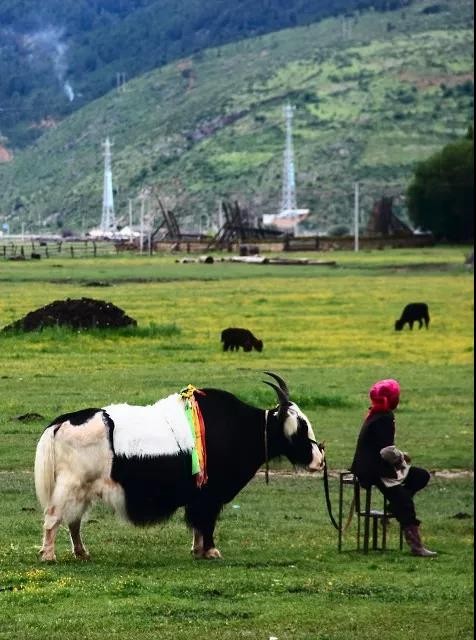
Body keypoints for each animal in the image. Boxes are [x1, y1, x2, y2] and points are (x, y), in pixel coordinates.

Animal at [33, 370, 324, 560]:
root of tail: (61, 422)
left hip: (83, 489)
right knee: (53, 516)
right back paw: (48, 555)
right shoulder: (210, 494)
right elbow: (207, 521)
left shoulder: (200, 495)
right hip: (71, 484)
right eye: (300, 427)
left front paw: (197, 549)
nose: (320, 460)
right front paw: (211, 551)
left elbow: (198, 523)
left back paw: (82, 553)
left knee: (74, 520)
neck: (241, 428)